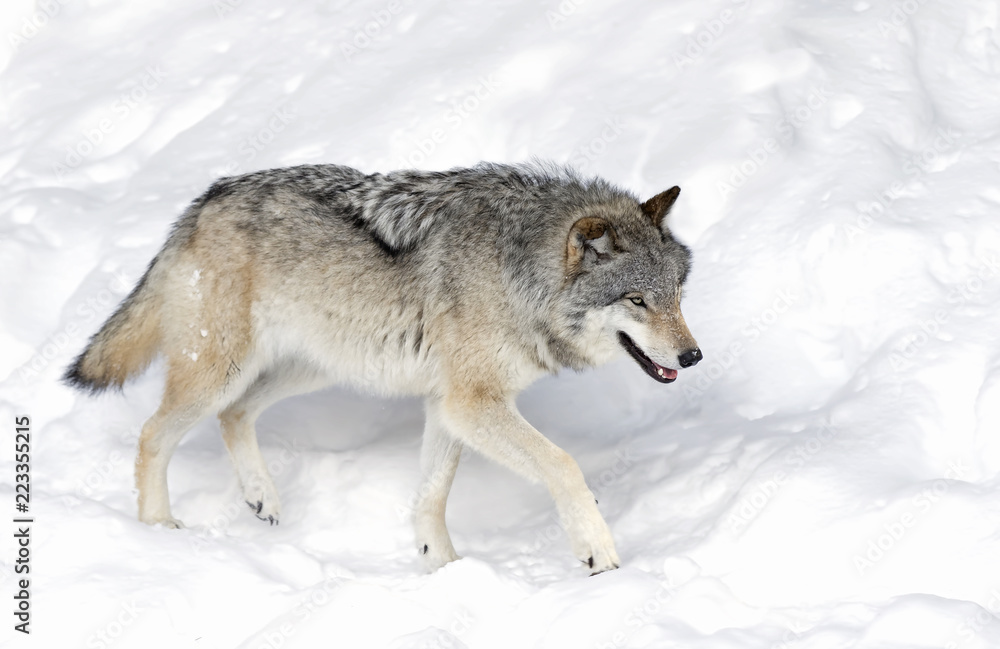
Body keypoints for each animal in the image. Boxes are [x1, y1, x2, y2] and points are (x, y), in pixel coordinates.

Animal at [64, 162, 701, 574]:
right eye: (637, 301)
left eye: (675, 294)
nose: (692, 356)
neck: (519, 273)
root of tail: (203, 201)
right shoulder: (472, 403)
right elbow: (565, 466)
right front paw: (598, 550)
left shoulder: (448, 406)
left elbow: (430, 498)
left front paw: (442, 571)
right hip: (222, 371)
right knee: (153, 434)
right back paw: (157, 531)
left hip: (312, 367)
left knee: (235, 415)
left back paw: (262, 497)